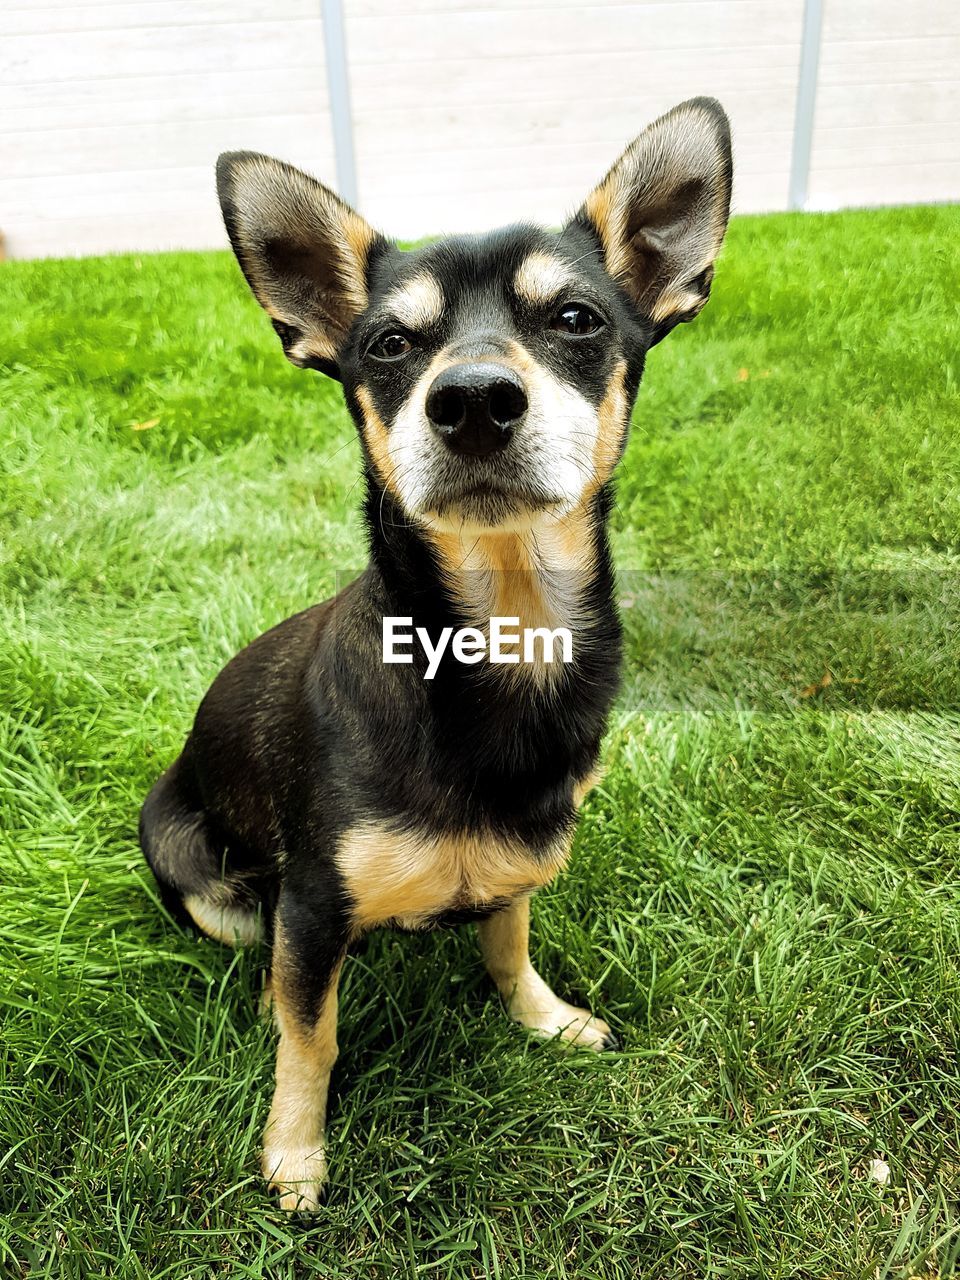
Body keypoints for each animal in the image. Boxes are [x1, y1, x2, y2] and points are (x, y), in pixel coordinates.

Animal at [138, 97, 732, 1208]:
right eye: (387, 343)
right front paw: (295, 1151)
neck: (500, 633)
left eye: (577, 319)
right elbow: (311, 1036)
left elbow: (508, 947)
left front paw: (545, 1018)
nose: (473, 398)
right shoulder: (312, 902)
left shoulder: (523, 862)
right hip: (205, 873)